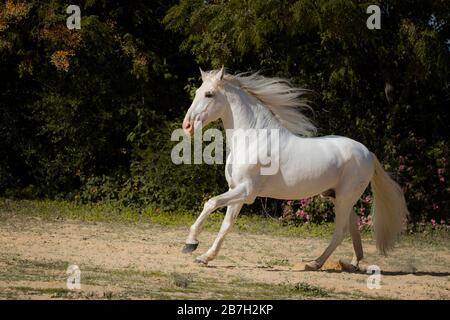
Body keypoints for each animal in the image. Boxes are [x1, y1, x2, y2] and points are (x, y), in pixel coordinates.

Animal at [180, 67, 408, 270]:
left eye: (209, 94)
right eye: (197, 92)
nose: (187, 126)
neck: (253, 139)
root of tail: (367, 153)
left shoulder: (246, 191)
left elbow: (211, 203)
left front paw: (191, 243)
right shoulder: (237, 191)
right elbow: (226, 225)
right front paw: (205, 257)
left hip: (345, 198)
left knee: (340, 231)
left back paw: (315, 263)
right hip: (339, 197)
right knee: (353, 228)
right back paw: (352, 263)